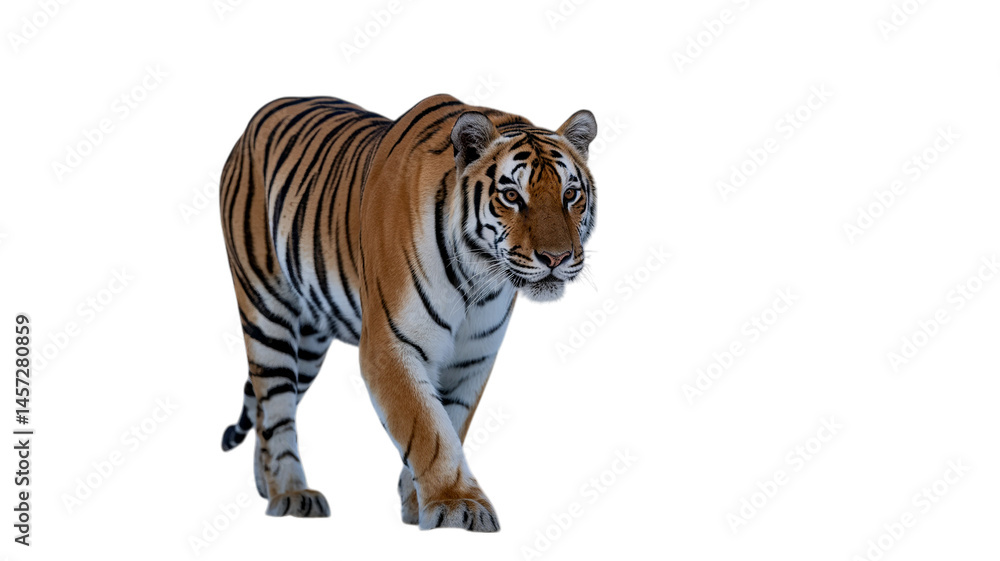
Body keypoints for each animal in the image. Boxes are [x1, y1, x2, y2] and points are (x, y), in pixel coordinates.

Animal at [218, 94, 598, 531]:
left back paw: (267, 488)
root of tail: (263, 111)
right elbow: (427, 426)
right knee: (276, 407)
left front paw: (418, 503)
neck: (479, 279)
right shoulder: (390, 348)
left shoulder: (472, 358)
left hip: (310, 342)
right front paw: (457, 505)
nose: (557, 258)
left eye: (570, 194)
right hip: (268, 315)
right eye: (512, 197)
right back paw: (291, 495)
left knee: (266, 411)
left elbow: (450, 422)